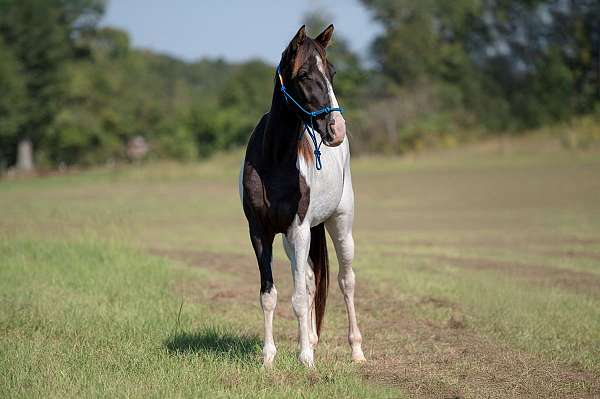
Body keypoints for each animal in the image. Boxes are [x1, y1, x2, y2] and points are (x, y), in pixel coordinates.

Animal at [240, 25, 366, 368]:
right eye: (305, 74)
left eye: (332, 72)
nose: (337, 129)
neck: (274, 160)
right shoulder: (262, 233)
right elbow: (269, 295)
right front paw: (269, 356)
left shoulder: (298, 229)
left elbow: (296, 298)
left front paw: (306, 358)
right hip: (293, 238)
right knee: (310, 280)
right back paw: (310, 338)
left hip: (340, 225)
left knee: (345, 281)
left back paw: (356, 351)